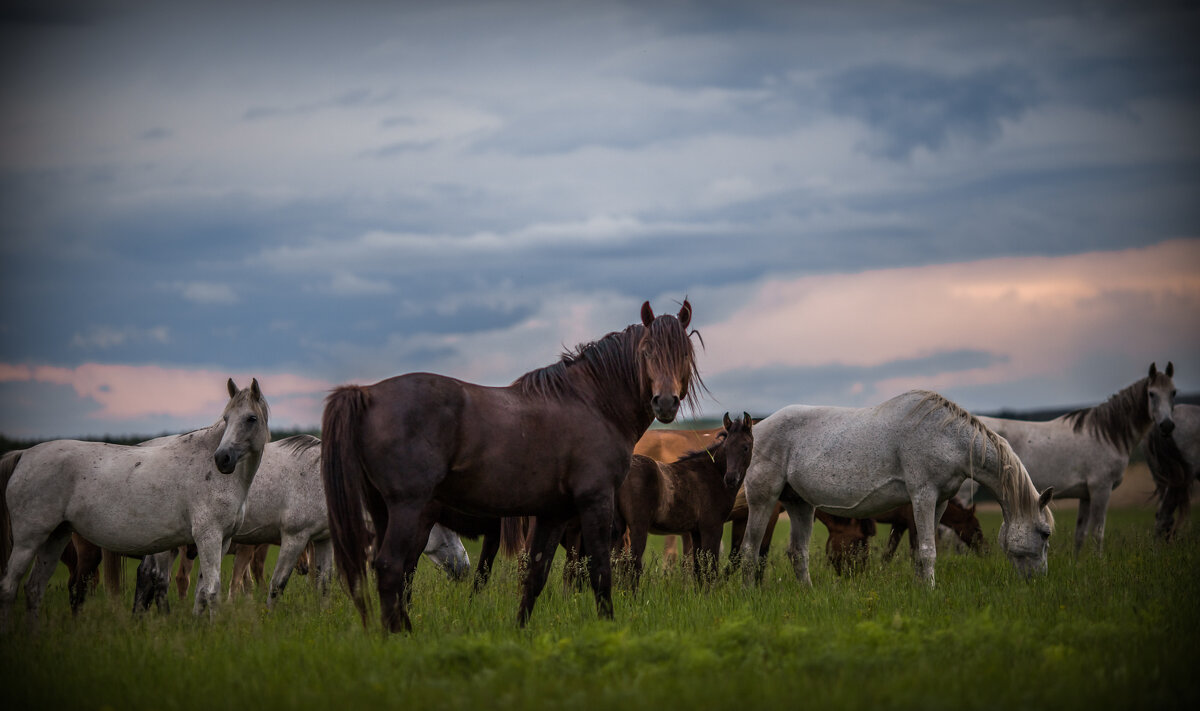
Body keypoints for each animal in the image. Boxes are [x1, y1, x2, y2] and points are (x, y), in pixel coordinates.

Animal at [0, 377, 267, 629]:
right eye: (226, 418)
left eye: (251, 418)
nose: (222, 459)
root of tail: (24, 455)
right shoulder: (208, 537)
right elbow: (212, 590)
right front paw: (211, 630)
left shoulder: (222, 540)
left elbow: (201, 590)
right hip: (28, 540)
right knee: (9, 588)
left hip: (55, 537)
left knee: (34, 589)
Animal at [321, 300, 700, 634]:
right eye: (647, 351)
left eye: (684, 352)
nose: (665, 402)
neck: (593, 403)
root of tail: (367, 395)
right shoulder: (596, 502)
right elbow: (600, 571)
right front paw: (609, 628)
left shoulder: (553, 513)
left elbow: (535, 574)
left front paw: (520, 631)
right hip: (408, 508)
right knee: (390, 568)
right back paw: (397, 638)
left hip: (385, 511)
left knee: (395, 573)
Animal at [734, 391, 1056, 586]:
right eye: (1045, 533)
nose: (1040, 580)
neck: (947, 437)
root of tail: (757, 429)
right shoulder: (923, 495)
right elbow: (927, 550)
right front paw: (929, 592)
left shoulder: (939, 502)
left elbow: (923, 550)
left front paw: (921, 589)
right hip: (763, 500)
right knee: (749, 549)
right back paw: (750, 593)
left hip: (800, 504)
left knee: (798, 553)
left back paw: (808, 594)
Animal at [979, 362, 1176, 552]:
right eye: (1151, 394)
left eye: (1173, 393)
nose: (1167, 425)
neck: (1106, 436)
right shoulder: (1101, 489)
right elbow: (1098, 532)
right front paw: (1099, 560)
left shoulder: (1086, 495)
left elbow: (1080, 534)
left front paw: (1077, 561)